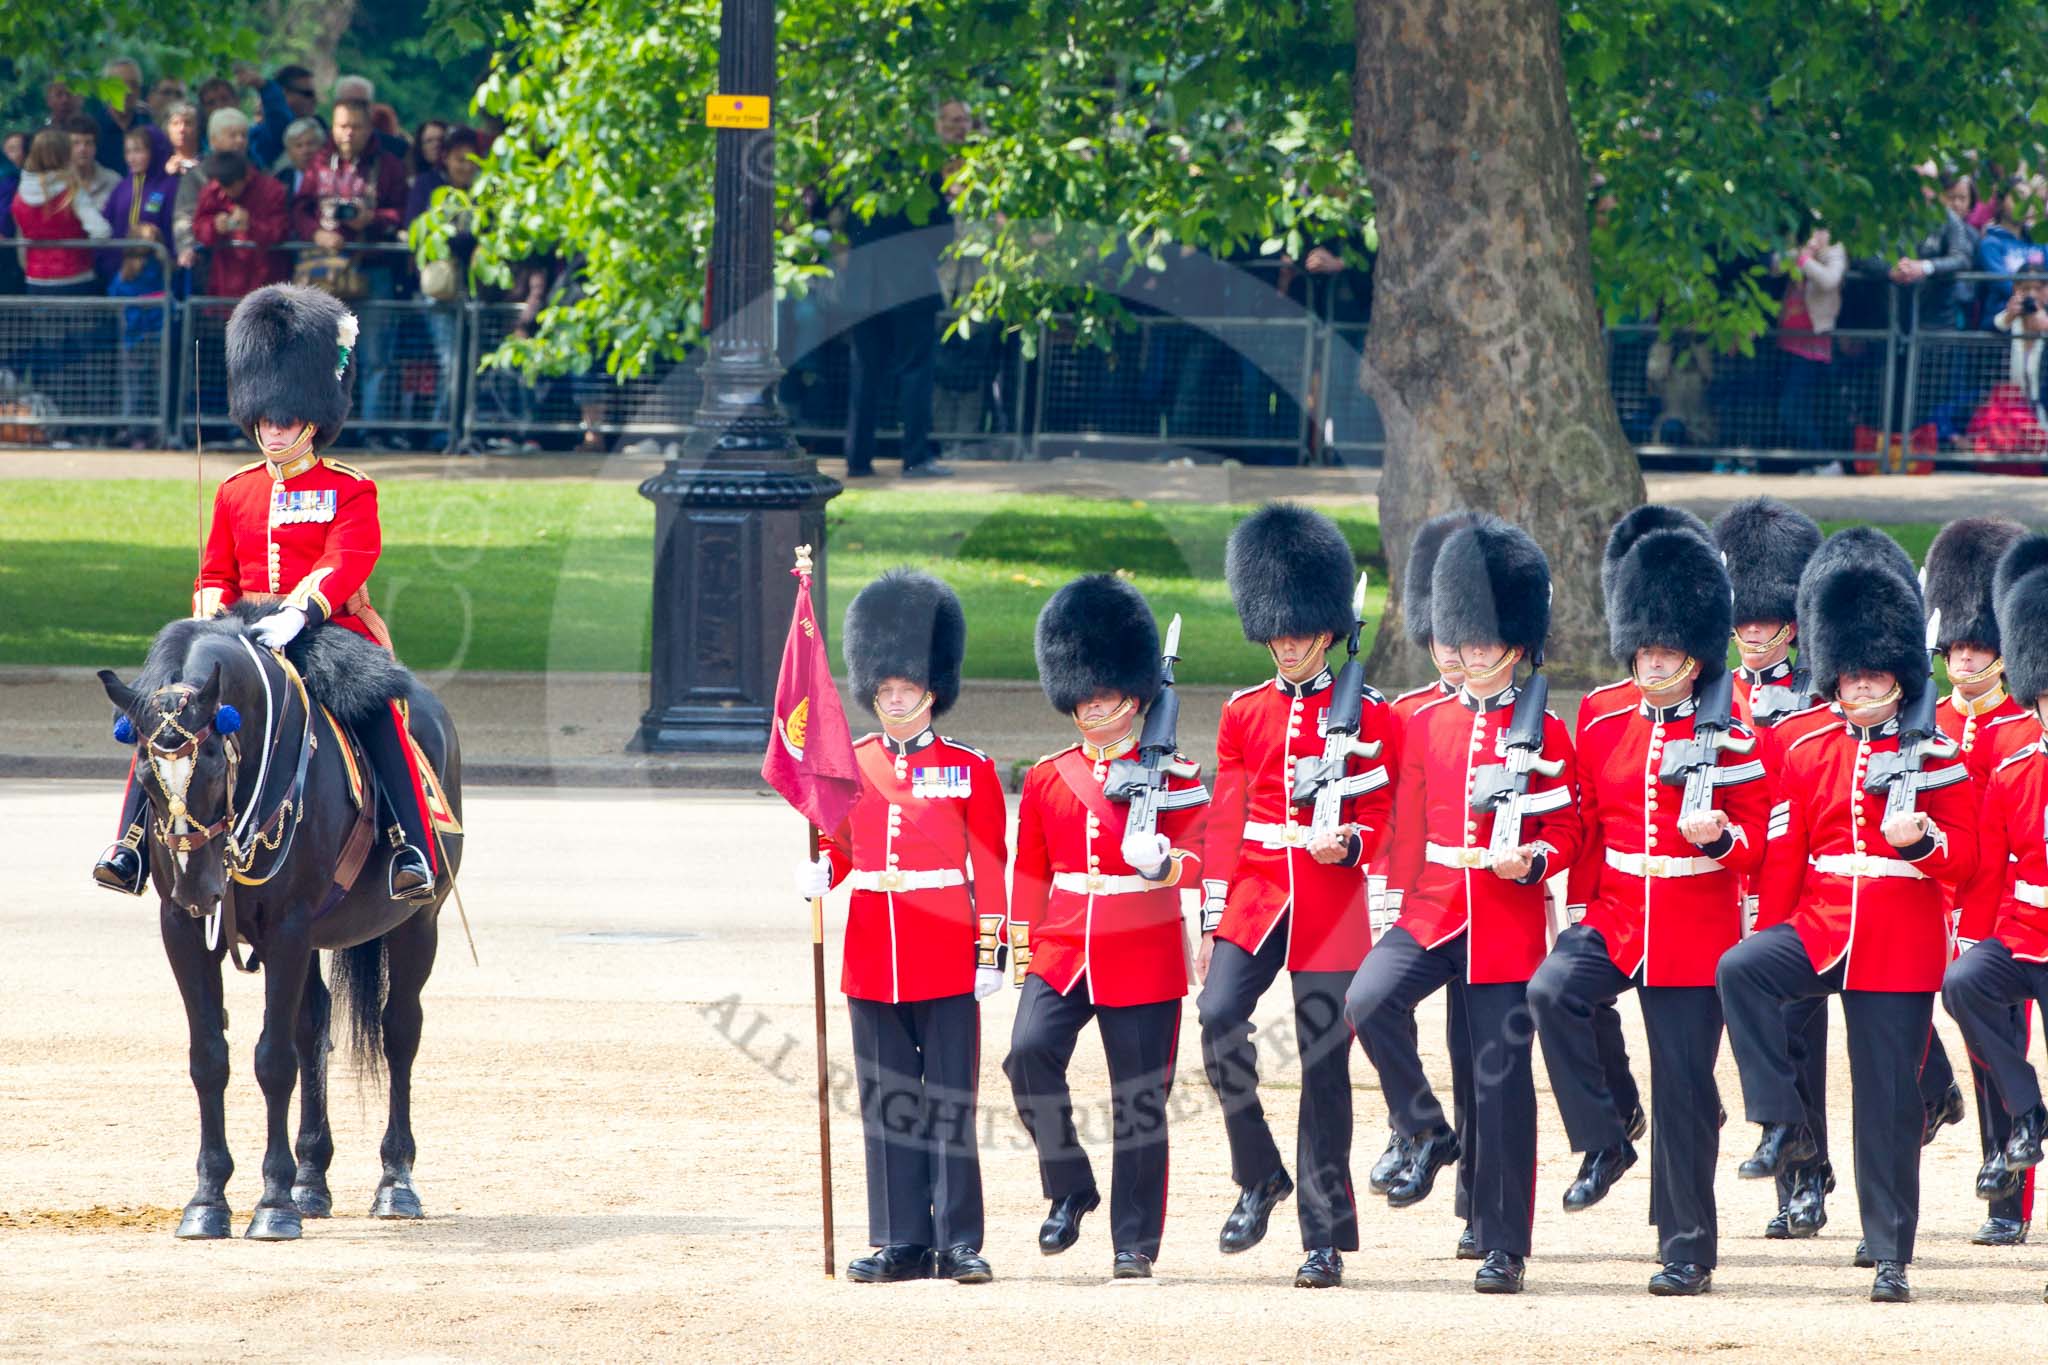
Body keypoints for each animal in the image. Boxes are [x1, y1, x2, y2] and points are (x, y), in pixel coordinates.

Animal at [99, 605, 464, 1236]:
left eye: (213, 763)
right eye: (144, 773)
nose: (199, 887)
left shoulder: (288, 927)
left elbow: (272, 1061)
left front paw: (271, 1205)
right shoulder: (183, 931)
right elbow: (209, 1058)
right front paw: (208, 1201)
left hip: (419, 923)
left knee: (399, 1030)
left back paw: (394, 1183)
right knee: (313, 1026)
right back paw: (310, 1181)